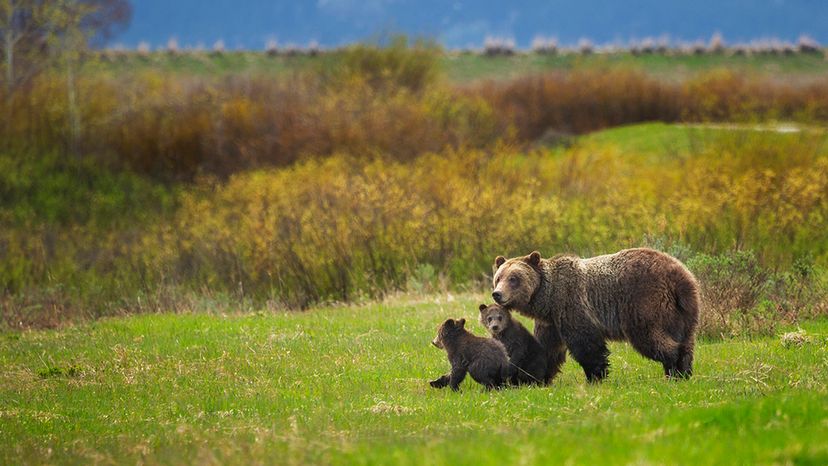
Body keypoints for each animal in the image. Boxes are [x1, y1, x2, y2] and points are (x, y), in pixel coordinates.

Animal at [492, 248, 700, 382]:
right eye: (498, 278)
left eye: (513, 278)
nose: (497, 294)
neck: (547, 298)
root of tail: (677, 276)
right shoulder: (551, 321)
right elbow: (546, 347)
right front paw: (533, 377)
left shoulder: (571, 304)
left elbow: (586, 343)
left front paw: (595, 375)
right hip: (684, 310)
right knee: (686, 339)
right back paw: (684, 370)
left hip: (644, 301)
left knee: (650, 336)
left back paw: (675, 367)